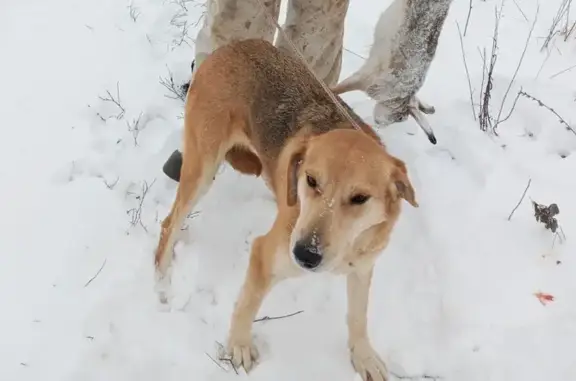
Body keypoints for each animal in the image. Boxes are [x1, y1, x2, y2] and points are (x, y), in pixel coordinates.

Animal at [153, 37, 420, 380]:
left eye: (360, 198)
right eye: (311, 180)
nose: (305, 255)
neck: (347, 246)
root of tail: (231, 46)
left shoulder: (362, 269)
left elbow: (358, 317)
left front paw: (363, 355)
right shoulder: (264, 255)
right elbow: (246, 306)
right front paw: (239, 345)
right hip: (202, 168)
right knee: (170, 222)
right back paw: (161, 277)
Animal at [330, 0, 452, 145]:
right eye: (399, 118)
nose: (379, 124)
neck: (398, 98)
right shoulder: (365, 79)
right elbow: (339, 89)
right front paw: (329, 91)